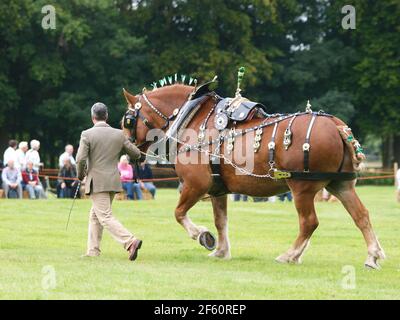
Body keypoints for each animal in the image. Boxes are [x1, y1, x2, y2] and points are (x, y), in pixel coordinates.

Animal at [121, 83, 384, 270]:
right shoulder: (217, 189)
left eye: (128, 120)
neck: (192, 118)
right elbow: (220, 220)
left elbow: (179, 213)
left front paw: (202, 236)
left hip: (302, 187)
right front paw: (221, 251)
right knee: (361, 215)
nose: (129, 149)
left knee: (309, 222)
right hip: (341, 184)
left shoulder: (196, 184)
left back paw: (290, 255)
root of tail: (337, 125)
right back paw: (372, 255)